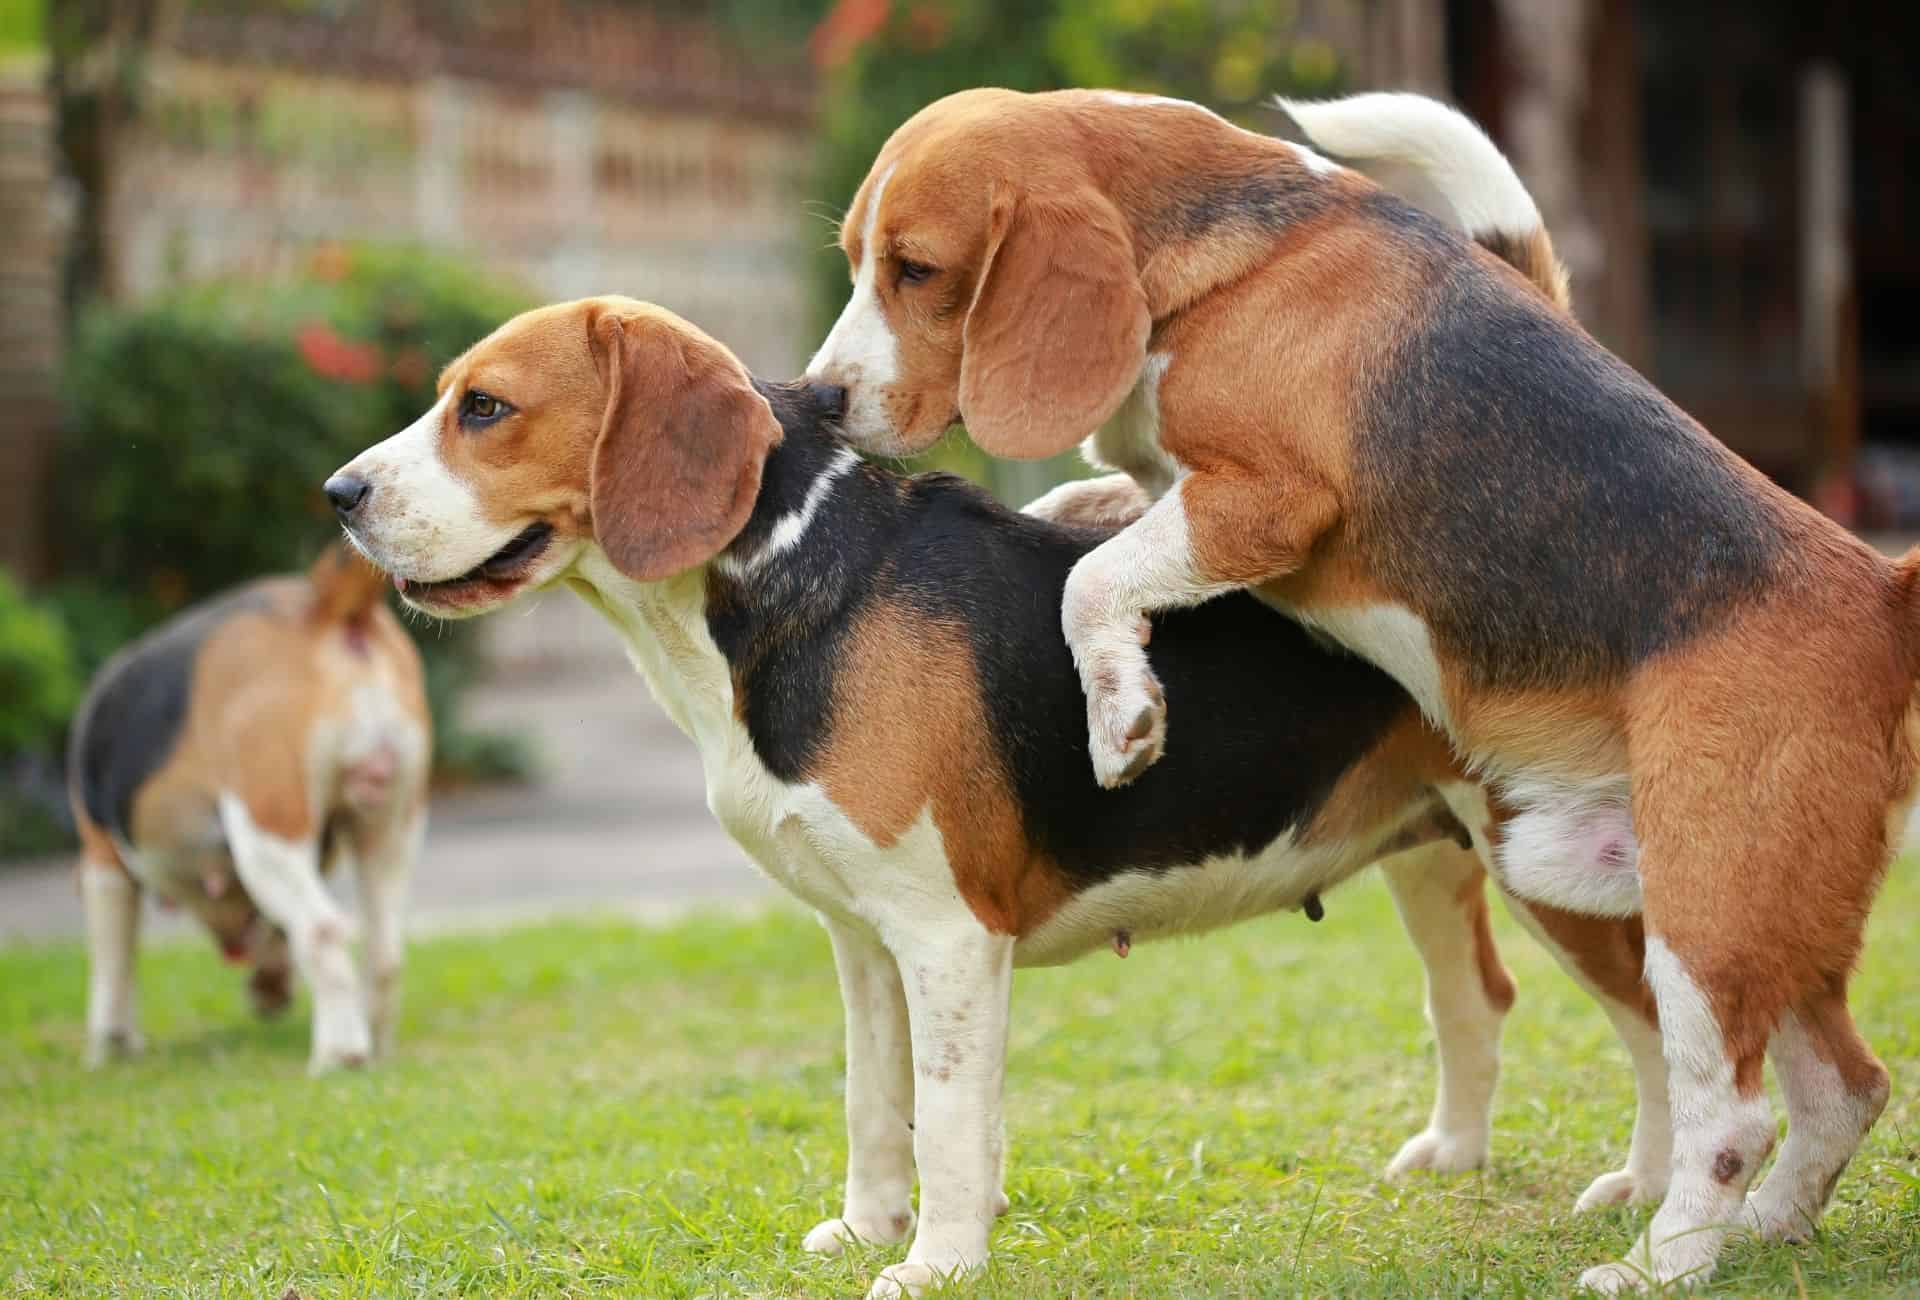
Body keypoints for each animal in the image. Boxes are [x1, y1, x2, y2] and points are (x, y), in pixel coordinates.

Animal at [69, 541, 430, 1067]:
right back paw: (375, 1043)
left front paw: (111, 1047)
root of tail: (322, 607)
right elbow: (276, 933)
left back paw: (339, 1053)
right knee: (383, 953)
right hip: (389, 831)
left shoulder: (103, 860)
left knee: (322, 930)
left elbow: (112, 967)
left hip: (265, 835)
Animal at [322, 295, 1658, 1298]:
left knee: (1661, 1031)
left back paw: (1654, 1199)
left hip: (1566, 876)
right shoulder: (860, 939)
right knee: (1477, 998)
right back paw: (1459, 1158)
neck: (785, 585)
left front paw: (938, 1260)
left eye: (484, 408)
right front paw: (870, 1227)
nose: (337, 495)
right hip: (1430, 851)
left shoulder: (946, 935)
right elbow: (876, 1101)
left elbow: (953, 1113)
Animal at [810, 88, 1920, 1290]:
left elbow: (1093, 579)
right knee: (1846, 1087)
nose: (819, 401)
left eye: (916, 269)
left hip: (1706, 904)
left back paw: (1660, 1262)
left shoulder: (1263, 503)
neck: (1222, 260)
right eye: (857, 261)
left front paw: (1122, 714)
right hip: (1765, 908)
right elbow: (1080, 517)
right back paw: (1773, 1223)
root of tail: (1881, 593)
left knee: (1735, 1115)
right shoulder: (1166, 484)